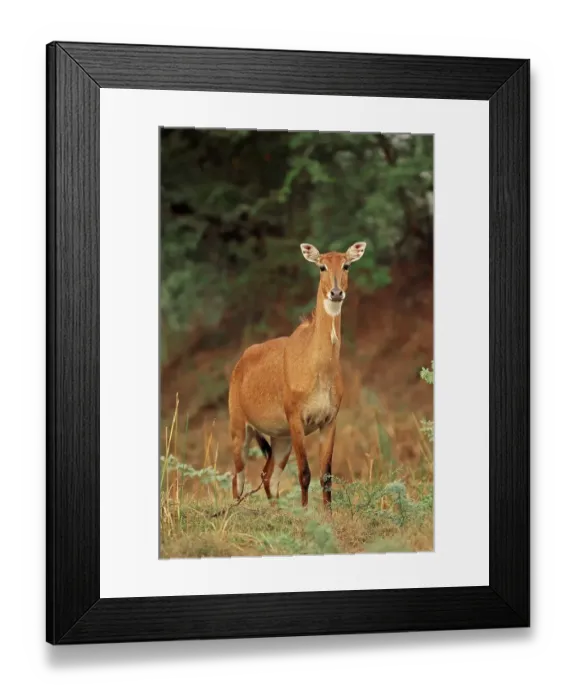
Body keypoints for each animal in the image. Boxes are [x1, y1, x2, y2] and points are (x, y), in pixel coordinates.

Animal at [228, 241, 367, 509]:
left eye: (346, 265)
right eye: (322, 266)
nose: (336, 293)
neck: (318, 368)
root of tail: (239, 364)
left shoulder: (329, 420)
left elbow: (326, 476)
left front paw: (327, 514)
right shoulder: (296, 419)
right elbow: (305, 473)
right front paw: (305, 512)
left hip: (280, 438)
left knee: (268, 475)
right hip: (240, 428)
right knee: (238, 477)